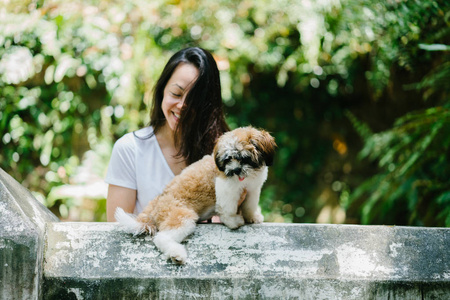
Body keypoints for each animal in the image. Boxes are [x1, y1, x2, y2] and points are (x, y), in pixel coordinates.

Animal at [114, 125, 276, 264]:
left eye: (245, 158)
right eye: (228, 159)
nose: (235, 170)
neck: (247, 178)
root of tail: (157, 202)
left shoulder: (252, 190)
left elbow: (249, 206)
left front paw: (252, 217)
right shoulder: (227, 187)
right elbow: (227, 209)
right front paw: (233, 221)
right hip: (182, 216)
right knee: (161, 238)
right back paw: (176, 254)